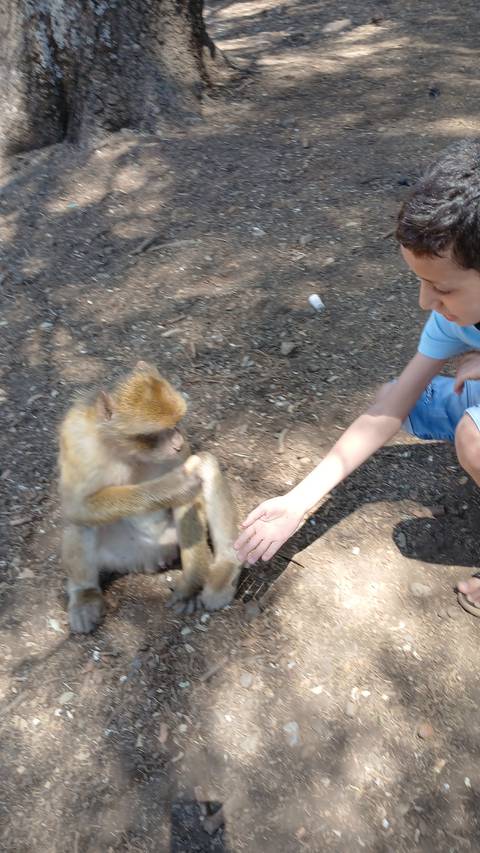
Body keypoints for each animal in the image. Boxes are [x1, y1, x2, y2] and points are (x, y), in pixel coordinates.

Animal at [59, 361, 243, 633]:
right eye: (156, 433)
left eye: (175, 424)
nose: (177, 442)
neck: (124, 450)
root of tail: (146, 561)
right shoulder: (76, 438)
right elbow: (75, 507)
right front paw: (172, 486)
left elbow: (192, 490)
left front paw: (190, 584)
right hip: (117, 553)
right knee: (80, 523)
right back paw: (85, 594)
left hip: (169, 540)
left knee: (206, 462)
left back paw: (226, 566)